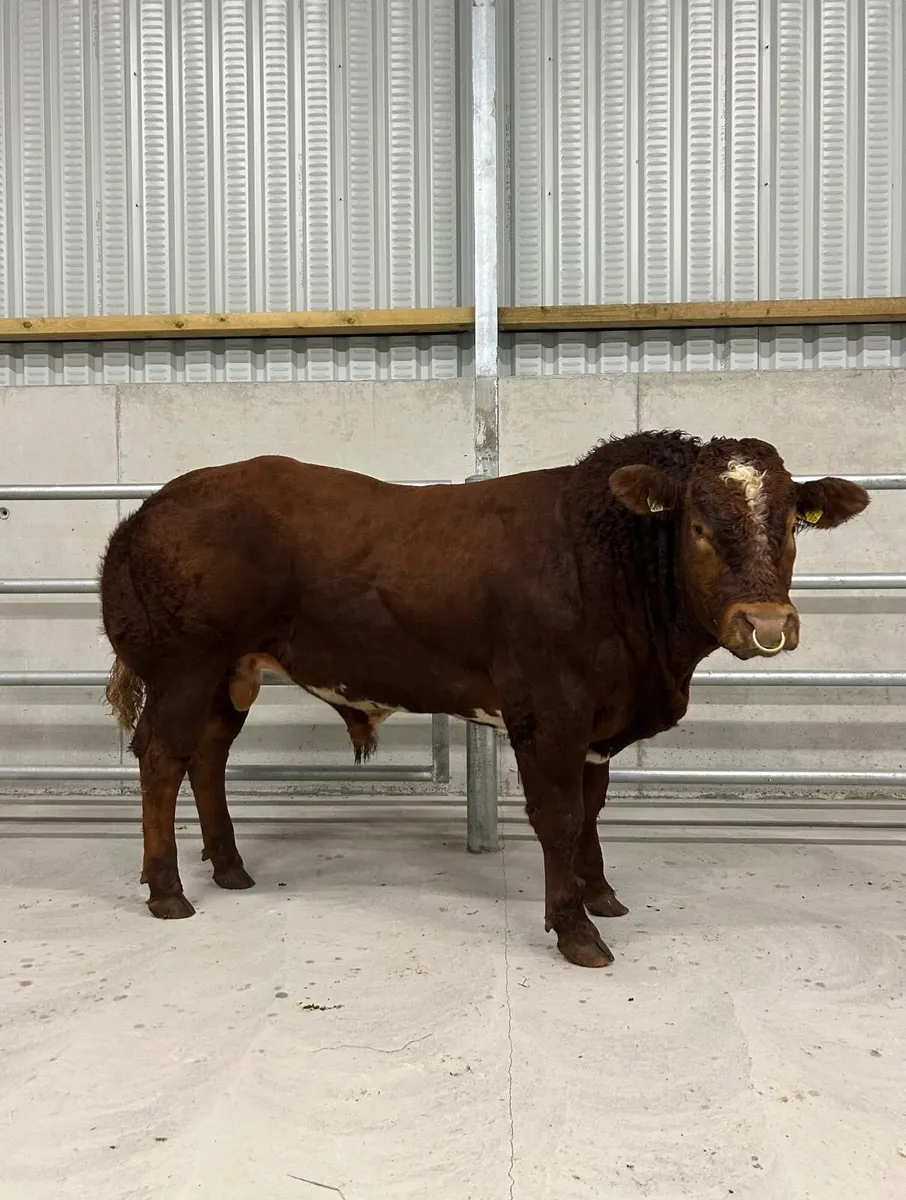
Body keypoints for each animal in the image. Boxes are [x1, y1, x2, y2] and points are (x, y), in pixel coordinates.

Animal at [99, 431, 869, 968]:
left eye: (792, 527)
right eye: (700, 528)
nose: (766, 625)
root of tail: (149, 510)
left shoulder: (598, 722)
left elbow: (591, 809)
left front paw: (600, 892)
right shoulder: (548, 713)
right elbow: (558, 818)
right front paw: (575, 928)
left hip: (232, 675)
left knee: (208, 759)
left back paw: (229, 867)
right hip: (185, 666)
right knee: (162, 759)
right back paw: (168, 890)